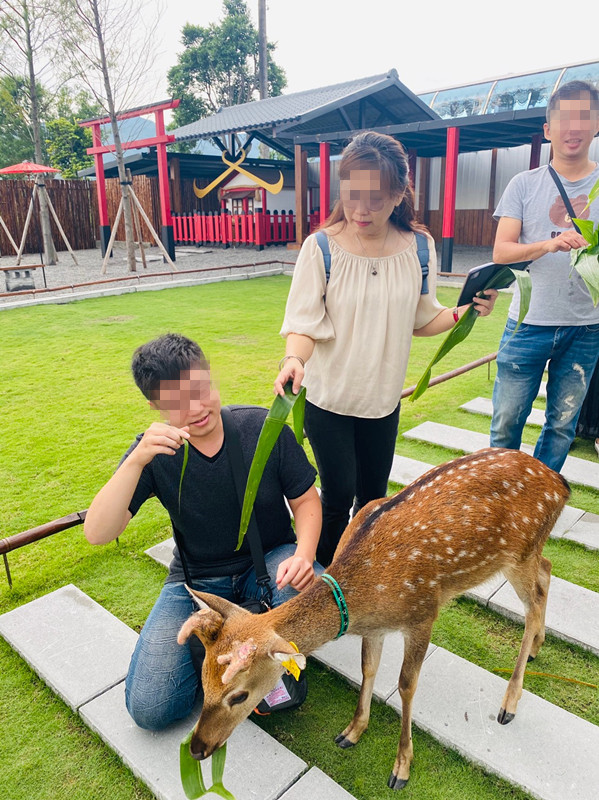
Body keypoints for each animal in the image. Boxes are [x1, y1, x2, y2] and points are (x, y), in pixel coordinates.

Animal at [177, 446, 568, 792]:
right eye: (204, 682)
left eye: (239, 695)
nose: (196, 748)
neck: (364, 596)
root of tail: (561, 483)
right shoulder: (377, 628)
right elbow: (368, 668)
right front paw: (351, 732)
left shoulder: (423, 612)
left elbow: (406, 684)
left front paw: (401, 768)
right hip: (530, 552)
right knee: (547, 572)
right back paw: (537, 646)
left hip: (519, 552)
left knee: (534, 600)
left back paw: (509, 703)